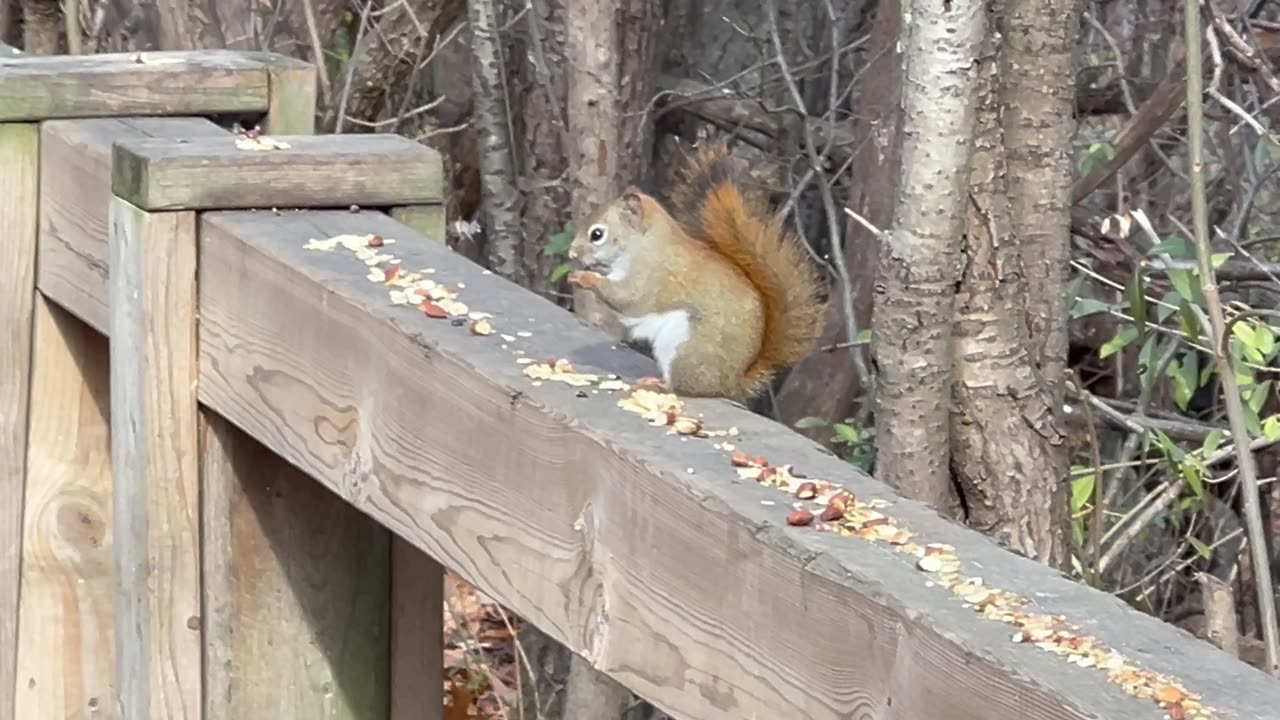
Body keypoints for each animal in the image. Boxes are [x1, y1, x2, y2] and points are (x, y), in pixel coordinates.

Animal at [566, 141, 827, 402]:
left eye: (597, 234)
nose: (571, 254)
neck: (644, 244)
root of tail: (730, 383)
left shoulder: (651, 276)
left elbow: (628, 297)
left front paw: (585, 278)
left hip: (684, 348)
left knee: (683, 386)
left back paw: (660, 384)